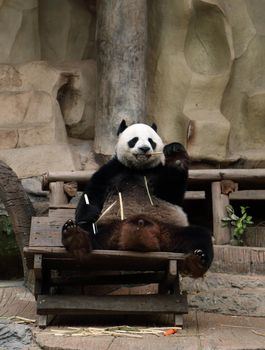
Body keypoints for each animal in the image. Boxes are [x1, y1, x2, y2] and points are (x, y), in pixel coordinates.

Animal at [62, 120, 212, 278]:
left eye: (151, 141)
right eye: (134, 140)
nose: (144, 148)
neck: (139, 168)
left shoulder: (158, 172)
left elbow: (172, 193)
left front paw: (175, 154)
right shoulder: (112, 170)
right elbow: (93, 193)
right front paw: (88, 215)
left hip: (170, 232)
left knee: (200, 236)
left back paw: (197, 261)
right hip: (110, 229)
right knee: (90, 232)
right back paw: (75, 237)